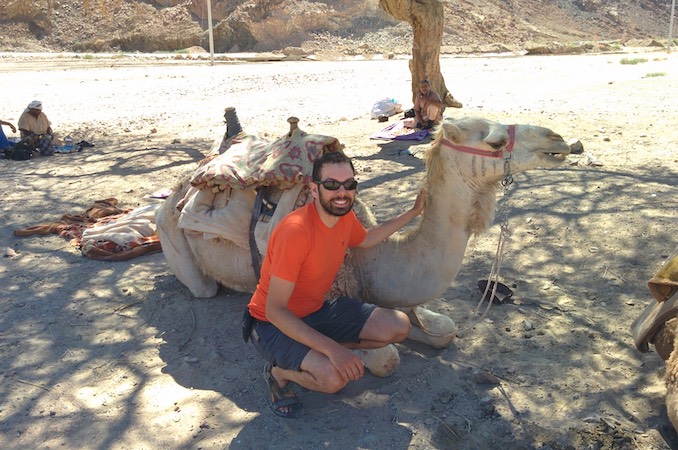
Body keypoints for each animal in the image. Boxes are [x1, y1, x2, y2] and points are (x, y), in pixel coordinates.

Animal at [157, 112, 580, 376]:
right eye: (494, 142)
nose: (561, 140)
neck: (371, 258)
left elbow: (442, 329)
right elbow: (386, 358)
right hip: (174, 239)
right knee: (204, 287)